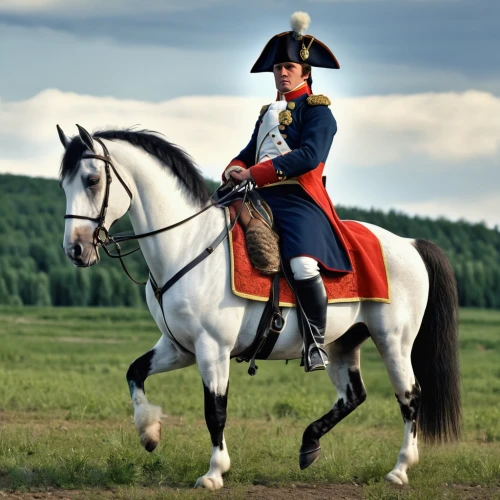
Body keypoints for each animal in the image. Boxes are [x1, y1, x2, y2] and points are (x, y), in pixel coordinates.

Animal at [57, 126, 460, 492]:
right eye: (63, 185)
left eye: (92, 180)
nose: (75, 250)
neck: (188, 245)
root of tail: (409, 243)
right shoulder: (179, 347)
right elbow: (135, 373)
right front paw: (149, 432)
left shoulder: (212, 348)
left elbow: (215, 410)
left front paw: (214, 473)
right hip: (342, 343)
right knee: (354, 395)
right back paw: (309, 444)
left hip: (393, 341)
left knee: (410, 395)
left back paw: (400, 469)